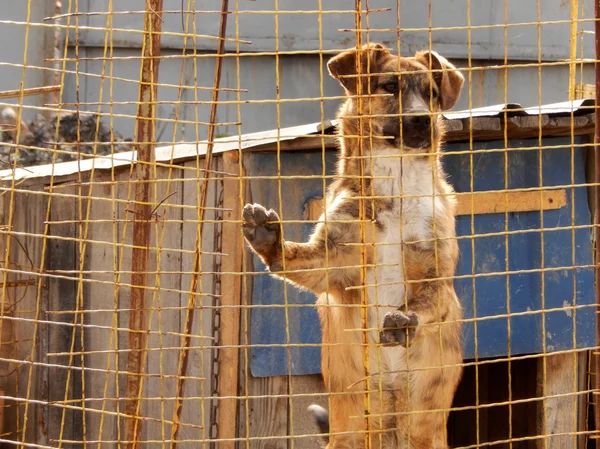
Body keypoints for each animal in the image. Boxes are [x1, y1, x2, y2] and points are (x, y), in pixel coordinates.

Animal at [243, 43, 464, 448]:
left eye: (432, 93)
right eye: (389, 86)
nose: (423, 120)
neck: (396, 185)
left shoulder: (436, 274)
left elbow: (427, 301)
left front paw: (405, 320)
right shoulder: (333, 263)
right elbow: (297, 259)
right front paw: (269, 239)